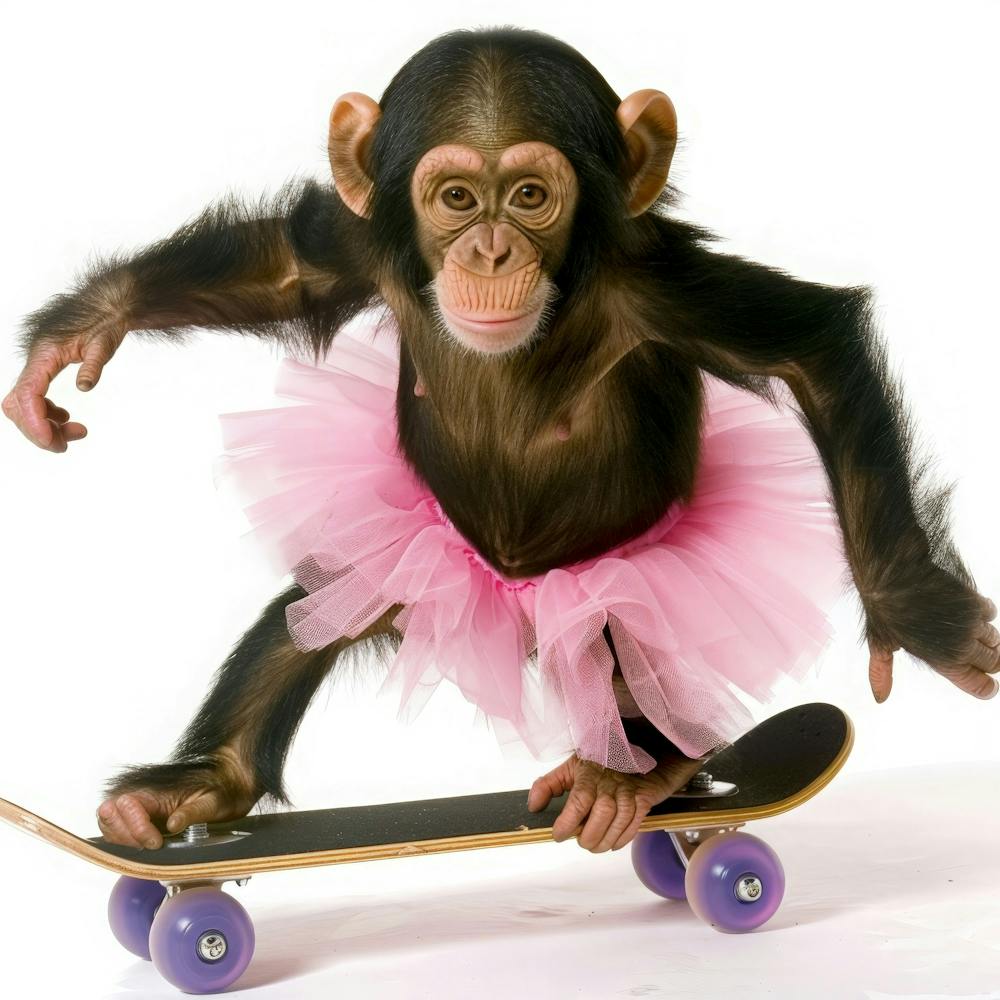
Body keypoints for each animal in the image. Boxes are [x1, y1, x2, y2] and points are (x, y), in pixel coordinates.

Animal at [4, 27, 998, 858]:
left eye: (529, 196)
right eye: (455, 197)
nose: (488, 252)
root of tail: (513, 616)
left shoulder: (657, 286)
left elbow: (813, 350)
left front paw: (919, 617)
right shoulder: (369, 247)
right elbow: (285, 268)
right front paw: (83, 330)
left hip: (607, 593)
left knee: (623, 631)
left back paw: (637, 771)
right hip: (411, 568)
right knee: (308, 613)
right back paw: (201, 788)